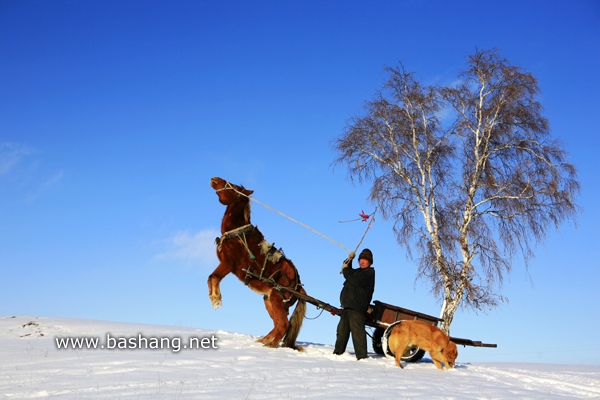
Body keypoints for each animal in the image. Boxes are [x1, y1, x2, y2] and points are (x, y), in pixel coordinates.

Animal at [209, 177, 308, 348]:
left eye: (234, 187)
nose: (215, 179)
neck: (237, 234)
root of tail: (298, 286)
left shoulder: (227, 264)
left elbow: (214, 277)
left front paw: (216, 301)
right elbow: (211, 278)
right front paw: (213, 297)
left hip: (276, 300)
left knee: (284, 325)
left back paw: (270, 346)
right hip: (269, 301)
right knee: (277, 324)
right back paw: (263, 341)